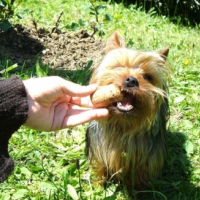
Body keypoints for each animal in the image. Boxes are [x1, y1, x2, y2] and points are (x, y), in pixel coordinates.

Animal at [85, 31, 170, 191]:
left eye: (147, 76)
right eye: (118, 67)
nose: (131, 80)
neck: (123, 124)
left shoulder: (145, 156)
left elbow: (139, 174)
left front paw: (137, 191)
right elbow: (102, 164)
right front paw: (100, 183)